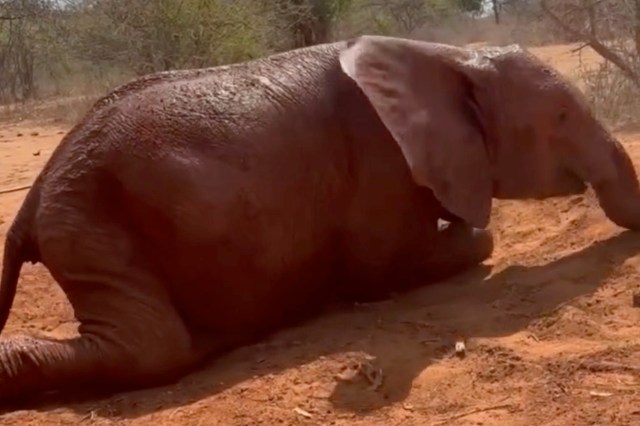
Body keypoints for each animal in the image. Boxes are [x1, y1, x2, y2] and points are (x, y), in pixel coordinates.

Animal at [1, 34, 639, 402]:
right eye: (561, 117)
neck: (443, 54)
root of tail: (35, 194)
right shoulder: (378, 157)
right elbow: (390, 265)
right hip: (94, 226)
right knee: (152, 349)